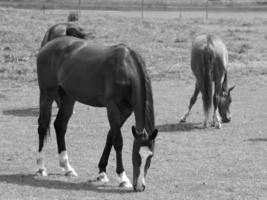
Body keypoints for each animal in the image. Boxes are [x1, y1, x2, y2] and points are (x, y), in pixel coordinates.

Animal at [35, 36, 158, 192]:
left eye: (150, 156)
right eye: (136, 154)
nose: (140, 186)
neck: (126, 69)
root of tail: (47, 46)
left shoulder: (126, 111)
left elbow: (110, 137)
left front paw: (102, 172)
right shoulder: (112, 107)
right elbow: (118, 141)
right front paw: (122, 178)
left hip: (69, 96)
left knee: (60, 125)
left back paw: (67, 167)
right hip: (47, 92)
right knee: (42, 125)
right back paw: (41, 167)